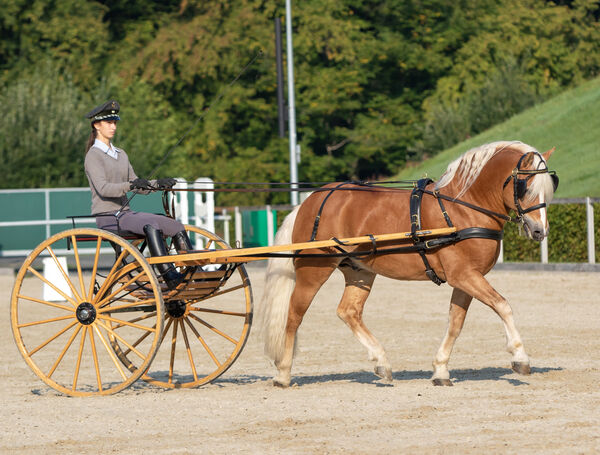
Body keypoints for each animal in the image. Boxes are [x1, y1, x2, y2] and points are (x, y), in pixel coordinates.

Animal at [260, 142, 560, 388]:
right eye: (525, 187)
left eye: (550, 185)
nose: (540, 231)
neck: (463, 208)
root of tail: (311, 200)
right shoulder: (464, 275)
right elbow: (502, 305)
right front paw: (520, 356)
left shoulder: (465, 279)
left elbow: (456, 323)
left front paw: (440, 370)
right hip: (314, 270)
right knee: (294, 315)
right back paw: (283, 373)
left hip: (360, 271)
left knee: (349, 312)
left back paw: (381, 362)